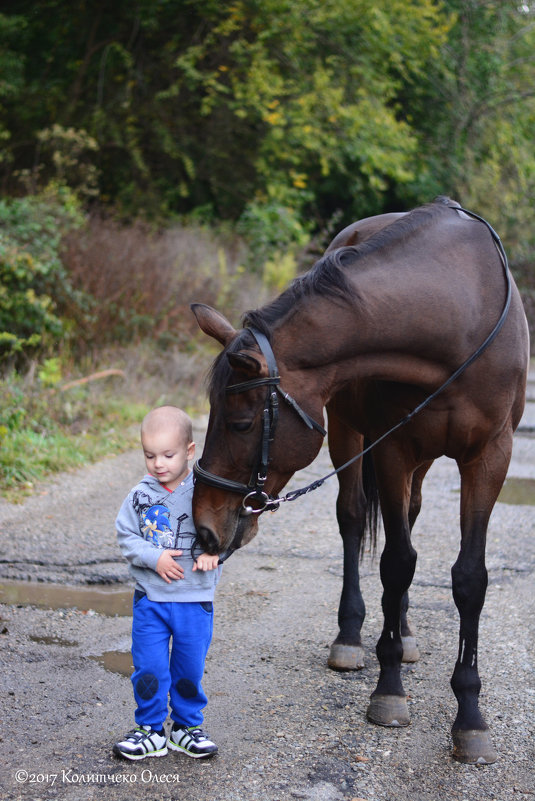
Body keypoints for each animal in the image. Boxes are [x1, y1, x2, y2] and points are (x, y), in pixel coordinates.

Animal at [191, 198, 528, 764]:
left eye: (239, 422)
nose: (203, 526)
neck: (458, 314)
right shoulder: (392, 449)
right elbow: (396, 564)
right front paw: (389, 691)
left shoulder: (490, 458)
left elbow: (469, 578)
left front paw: (470, 717)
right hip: (350, 432)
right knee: (353, 520)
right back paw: (350, 636)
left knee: (409, 519)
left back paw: (407, 632)